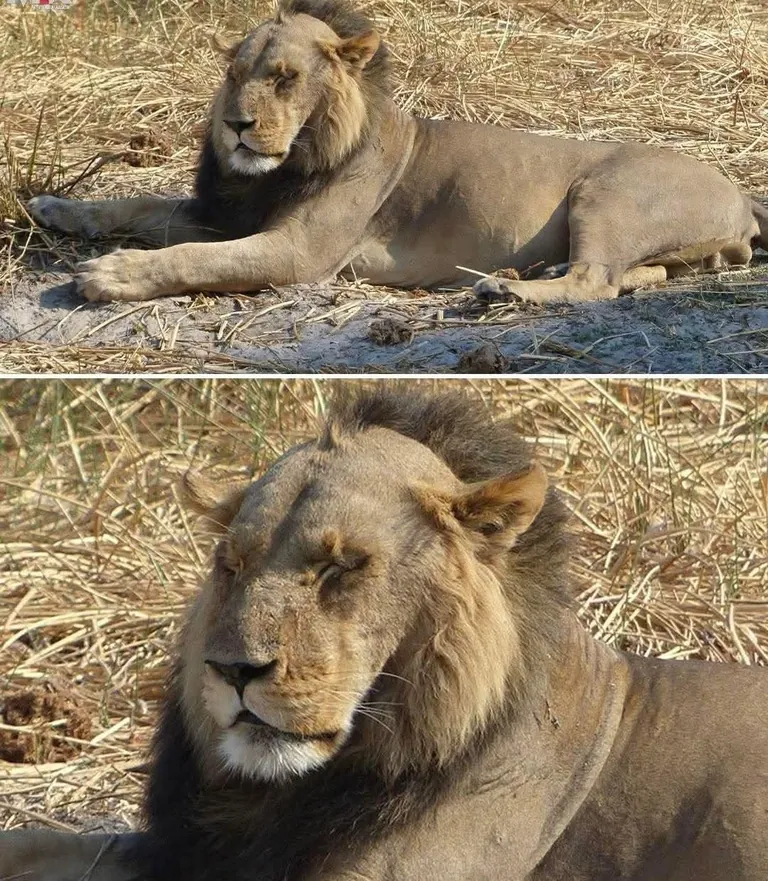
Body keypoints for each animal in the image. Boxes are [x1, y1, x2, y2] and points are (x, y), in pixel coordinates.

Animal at [26, 0, 768, 305]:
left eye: (285, 79)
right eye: (235, 74)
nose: (237, 125)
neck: (286, 163)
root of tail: (737, 191)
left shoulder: (298, 252)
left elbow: (188, 257)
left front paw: (110, 275)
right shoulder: (232, 213)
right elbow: (142, 205)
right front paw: (57, 207)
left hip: (605, 192)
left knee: (595, 282)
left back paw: (504, 289)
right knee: (635, 276)